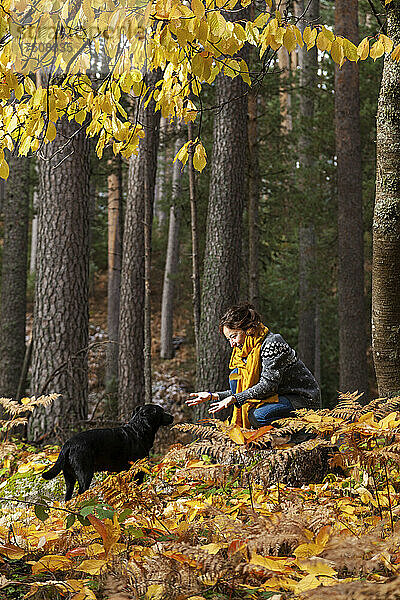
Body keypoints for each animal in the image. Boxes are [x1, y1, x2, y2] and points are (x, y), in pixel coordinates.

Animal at [42, 404, 173, 502]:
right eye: (162, 411)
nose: (172, 416)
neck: (139, 430)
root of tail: (68, 444)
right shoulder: (138, 471)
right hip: (85, 473)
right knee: (81, 493)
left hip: (69, 478)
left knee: (68, 497)